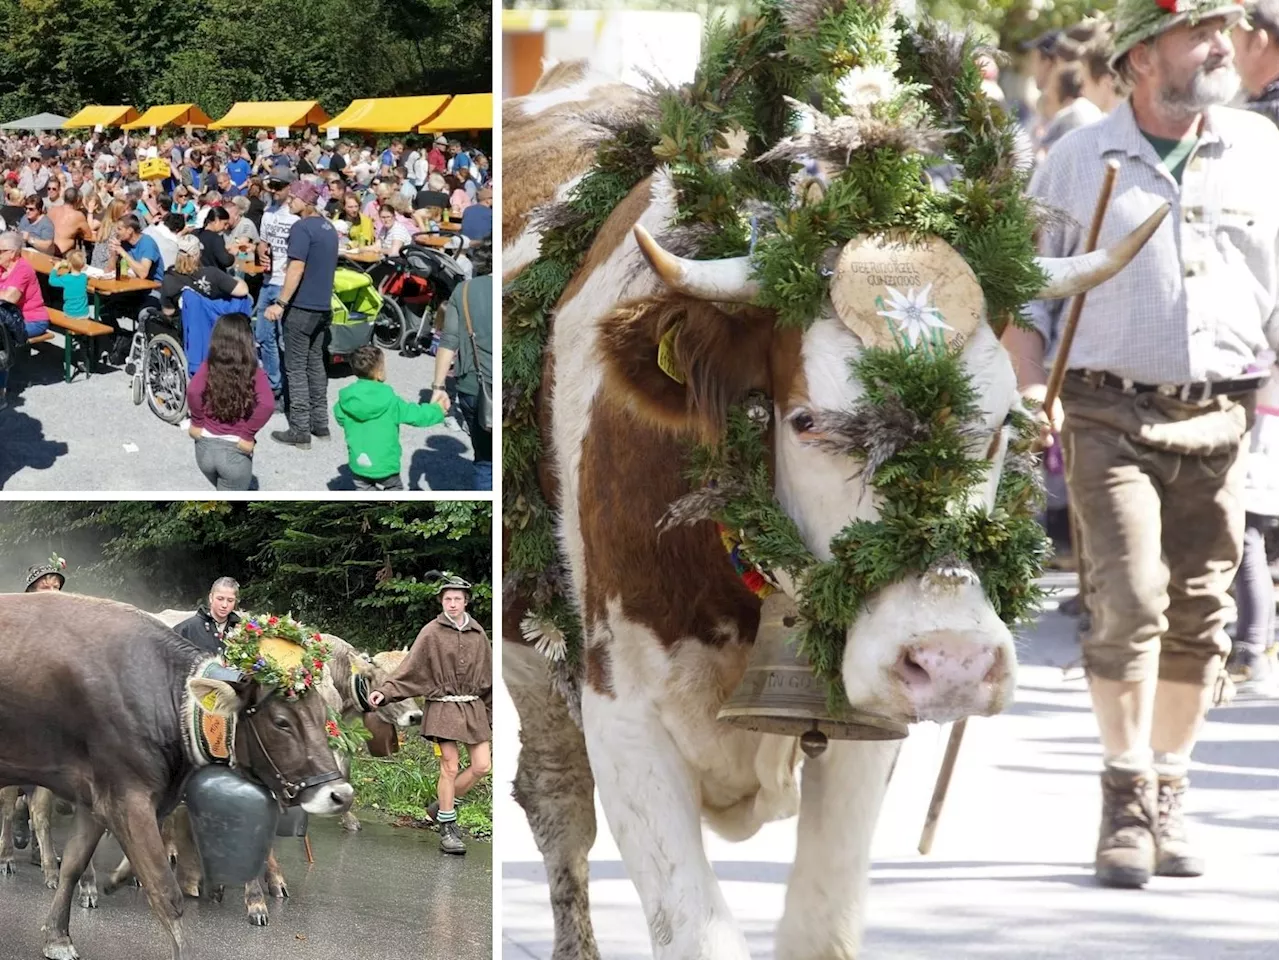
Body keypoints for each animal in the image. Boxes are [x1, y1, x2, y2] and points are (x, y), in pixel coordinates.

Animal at [501, 3, 1172, 957]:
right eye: (808, 421)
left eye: (1003, 423)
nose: (952, 661)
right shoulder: (620, 714)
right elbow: (695, 928)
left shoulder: (867, 727)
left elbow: (821, 925)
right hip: (531, 655)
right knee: (557, 800)